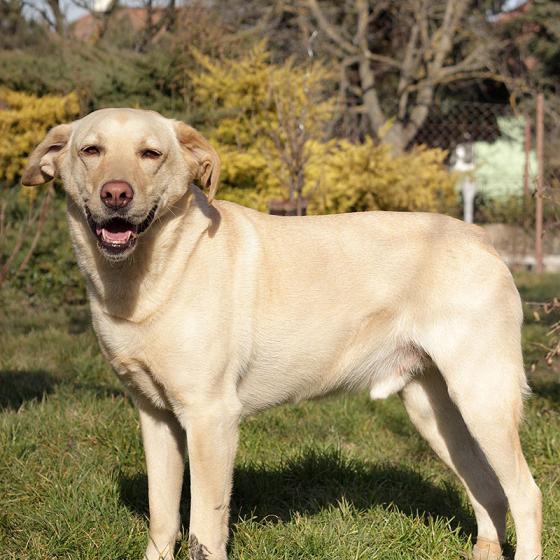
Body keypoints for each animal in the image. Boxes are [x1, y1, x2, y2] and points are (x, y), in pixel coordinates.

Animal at [22, 108, 542, 560]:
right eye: (91, 150)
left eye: (151, 154)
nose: (116, 194)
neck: (156, 272)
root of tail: (481, 239)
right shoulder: (156, 417)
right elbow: (162, 519)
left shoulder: (210, 419)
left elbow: (204, 529)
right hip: (433, 410)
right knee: (488, 489)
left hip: (483, 400)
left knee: (526, 495)